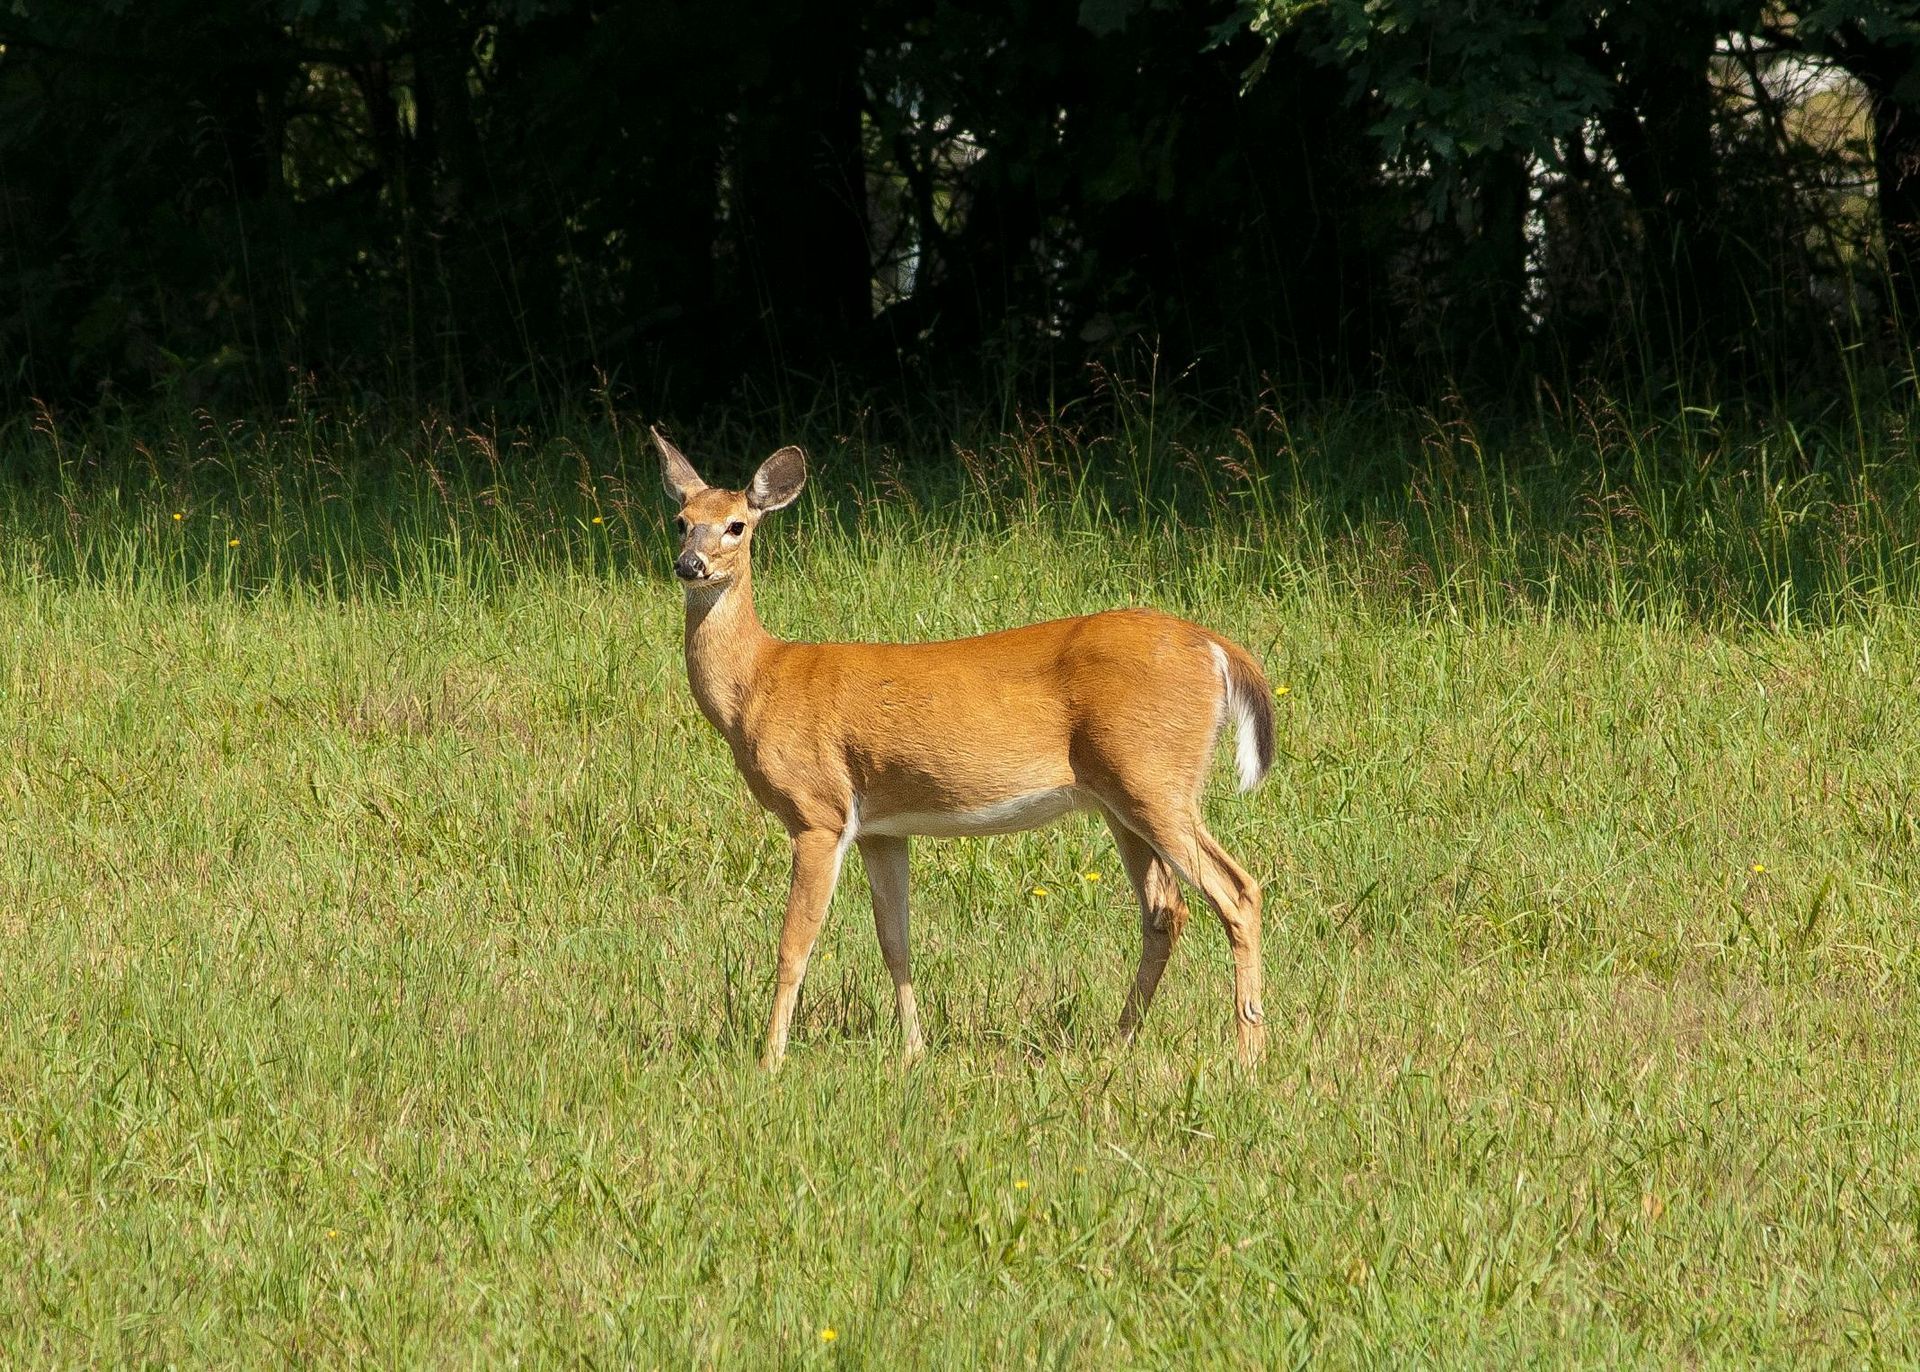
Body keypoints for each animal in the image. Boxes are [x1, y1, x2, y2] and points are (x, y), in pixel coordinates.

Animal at [654, 427, 1275, 1070]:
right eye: (680, 521)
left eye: (736, 525)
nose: (690, 565)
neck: (759, 682)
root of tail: (1216, 647)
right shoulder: (881, 827)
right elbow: (895, 942)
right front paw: (913, 1052)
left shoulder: (817, 812)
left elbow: (793, 945)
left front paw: (769, 1060)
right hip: (1121, 797)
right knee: (1164, 910)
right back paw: (1118, 1042)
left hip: (1154, 777)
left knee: (1238, 891)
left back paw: (1249, 1053)